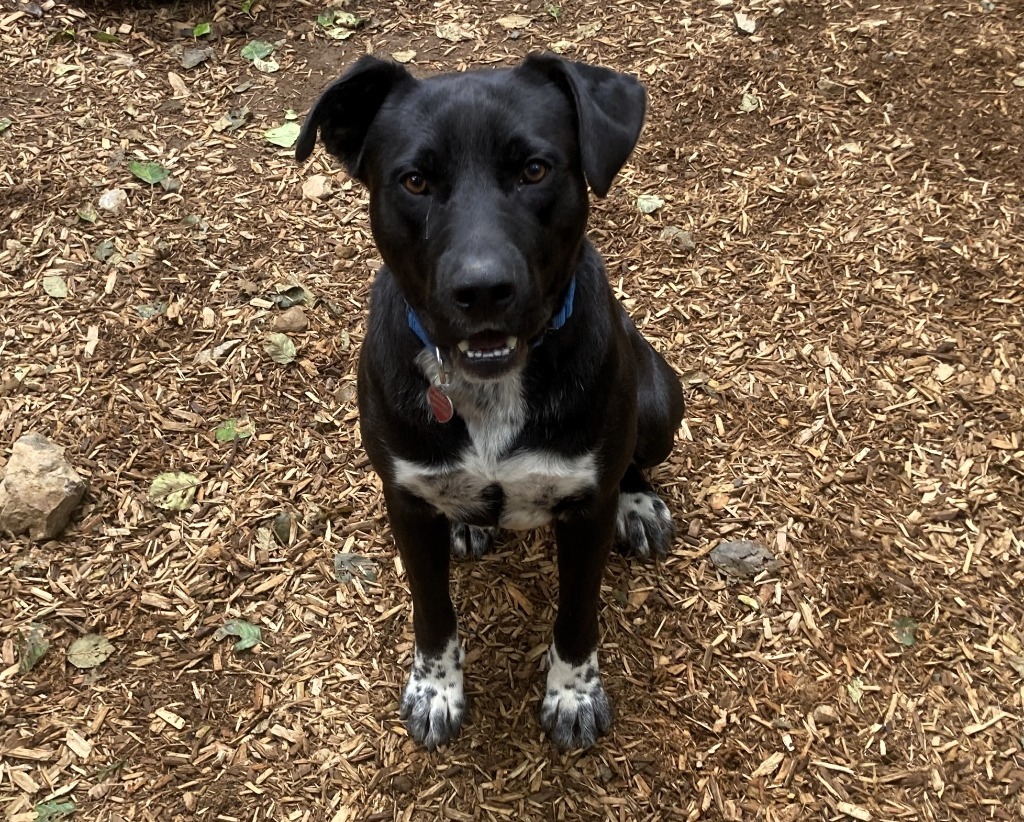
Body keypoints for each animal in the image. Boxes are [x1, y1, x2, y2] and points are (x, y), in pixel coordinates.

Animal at [296, 52, 684, 753]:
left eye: (534, 170)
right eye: (415, 181)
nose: (482, 290)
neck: (487, 387)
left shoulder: (585, 514)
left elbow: (578, 615)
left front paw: (573, 694)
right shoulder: (405, 502)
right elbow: (432, 612)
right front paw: (436, 690)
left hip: (659, 400)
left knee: (633, 459)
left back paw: (638, 502)